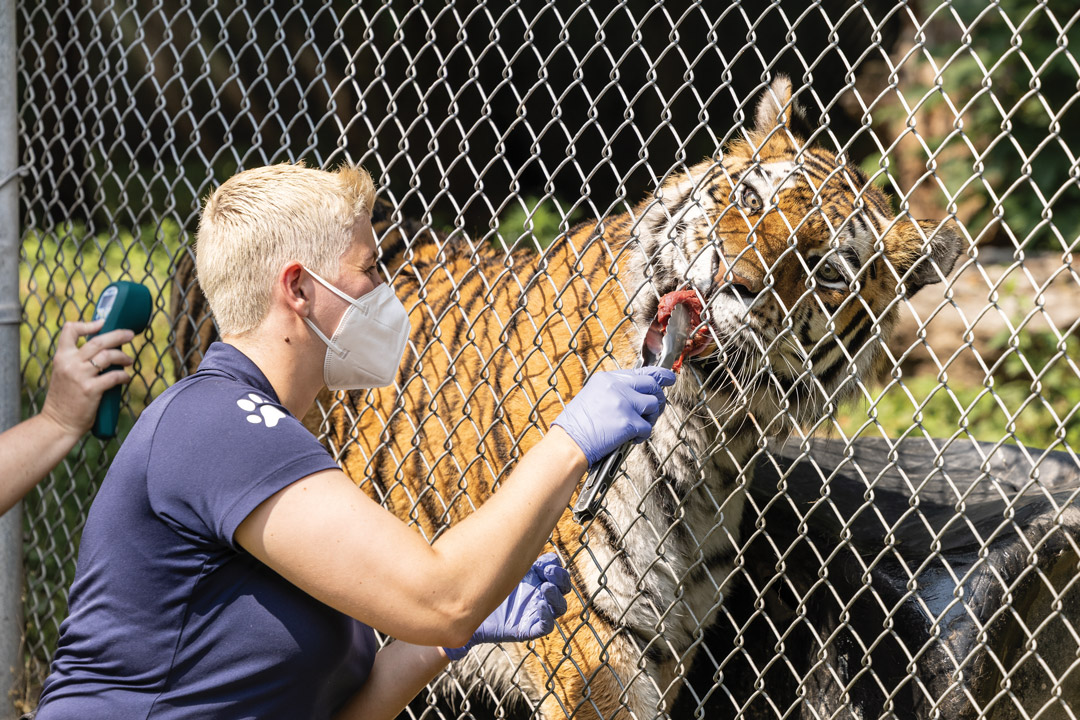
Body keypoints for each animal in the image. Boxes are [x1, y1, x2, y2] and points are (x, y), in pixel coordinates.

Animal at [169, 76, 963, 719]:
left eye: (827, 271)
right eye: (748, 197)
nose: (731, 278)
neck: (710, 435)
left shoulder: (663, 633)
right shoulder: (588, 638)